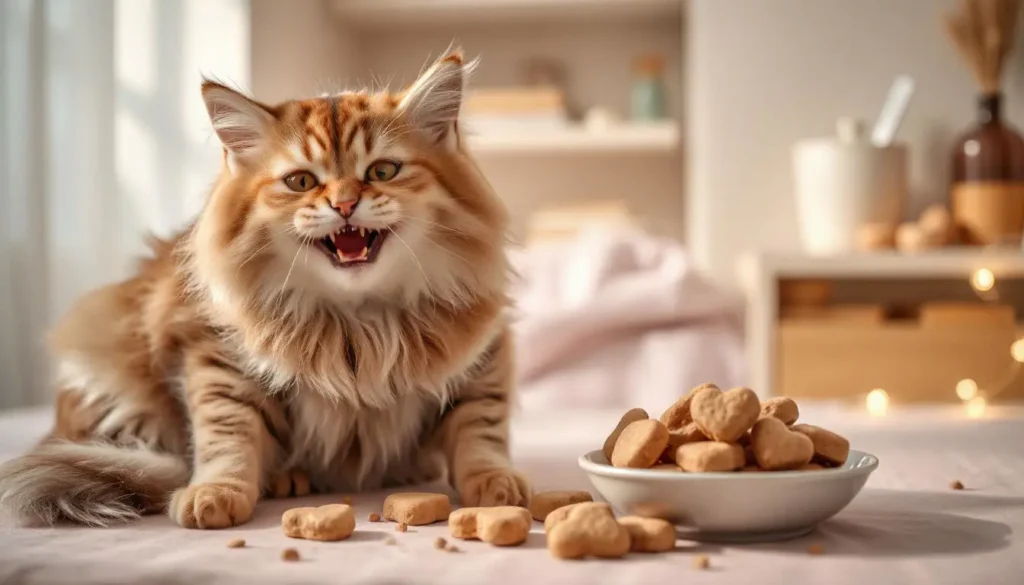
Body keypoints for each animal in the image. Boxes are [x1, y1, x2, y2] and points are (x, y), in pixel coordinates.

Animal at [0, 49, 528, 524]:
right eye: (301, 182)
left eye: (382, 172)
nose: (344, 205)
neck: (358, 324)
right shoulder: (218, 354)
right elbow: (228, 433)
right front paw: (215, 492)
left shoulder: (482, 352)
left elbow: (481, 428)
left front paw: (494, 483)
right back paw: (284, 478)